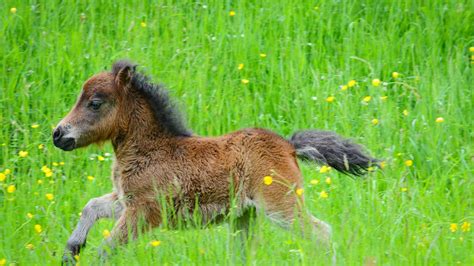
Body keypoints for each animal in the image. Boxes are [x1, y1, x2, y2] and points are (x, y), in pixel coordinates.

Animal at [53, 59, 376, 262]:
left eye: (95, 103)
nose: (58, 134)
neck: (152, 149)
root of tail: (288, 146)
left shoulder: (144, 211)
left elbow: (106, 249)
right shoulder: (127, 201)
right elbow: (91, 207)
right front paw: (71, 251)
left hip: (281, 207)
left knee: (321, 233)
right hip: (246, 216)